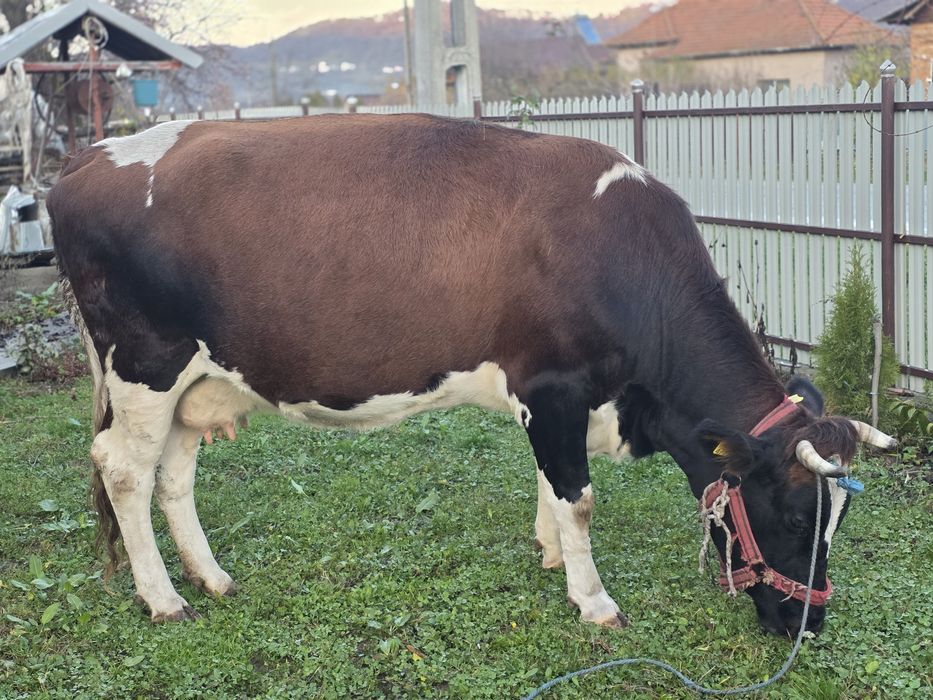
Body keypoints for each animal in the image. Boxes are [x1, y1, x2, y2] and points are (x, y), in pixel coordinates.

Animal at [47, 114, 895, 635]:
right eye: (795, 518)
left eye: (840, 522)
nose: (808, 624)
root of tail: (86, 160)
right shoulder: (552, 387)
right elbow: (578, 498)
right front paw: (593, 599)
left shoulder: (553, 399)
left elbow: (552, 488)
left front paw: (549, 553)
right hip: (145, 364)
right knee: (123, 471)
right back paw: (163, 599)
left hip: (195, 383)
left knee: (172, 475)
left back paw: (211, 578)